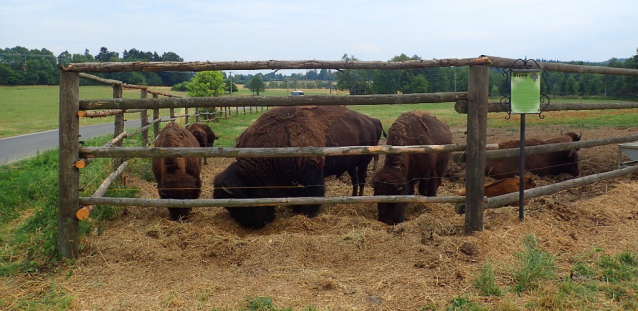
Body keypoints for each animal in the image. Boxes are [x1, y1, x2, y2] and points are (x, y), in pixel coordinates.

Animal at [215, 106, 370, 230]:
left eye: (239, 206)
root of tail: (370, 120)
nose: (253, 225)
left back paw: (360, 198)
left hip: (363, 162)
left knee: (362, 179)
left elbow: (314, 195)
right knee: (356, 180)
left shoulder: (312, 177)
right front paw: (296, 210)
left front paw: (309, 214)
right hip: (352, 166)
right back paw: (353, 197)